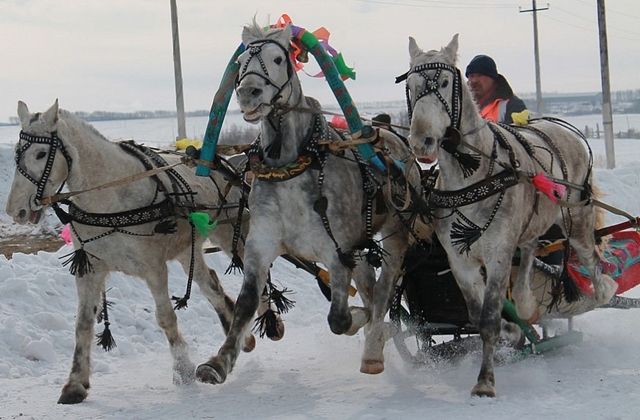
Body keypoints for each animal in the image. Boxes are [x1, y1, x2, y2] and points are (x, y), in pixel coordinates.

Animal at [5, 101, 262, 404]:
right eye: (17, 152)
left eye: (41, 153)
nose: (16, 210)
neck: (111, 199)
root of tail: (222, 163)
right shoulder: (90, 268)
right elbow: (83, 324)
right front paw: (75, 383)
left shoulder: (153, 268)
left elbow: (165, 317)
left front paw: (183, 369)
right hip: (187, 250)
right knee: (210, 284)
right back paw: (241, 336)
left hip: (232, 232)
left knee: (255, 278)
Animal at [194, 22, 424, 384]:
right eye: (242, 61)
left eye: (278, 58)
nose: (248, 93)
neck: (291, 166)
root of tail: (395, 140)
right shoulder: (261, 244)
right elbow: (246, 303)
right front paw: (218, 362)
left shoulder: (336, 249)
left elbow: (340, 319)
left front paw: (359, 320)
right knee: (371, 287)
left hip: (395, 234)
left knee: (383, 290)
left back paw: (374, 347)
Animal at [402, 33, 616, 398]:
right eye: (412, 86)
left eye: (443, 83)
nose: (422, 142)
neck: (471, 175)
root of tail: (563, 129)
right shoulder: (459, 260)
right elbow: (478, 315)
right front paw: (513, 330)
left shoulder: (498, 253)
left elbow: (489, 319)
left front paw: (485, 381)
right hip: (532, 223)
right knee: (529, 251)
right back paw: (528, 306)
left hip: (577, 220)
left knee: (591, 257)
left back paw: (602, 289)